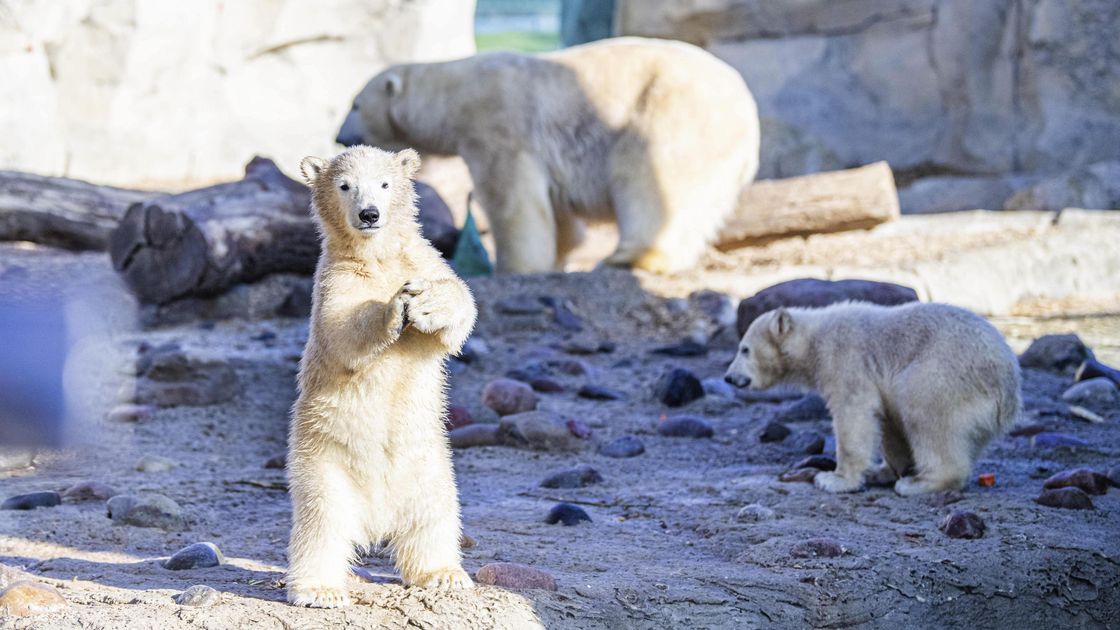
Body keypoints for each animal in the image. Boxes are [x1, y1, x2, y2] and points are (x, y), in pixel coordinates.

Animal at [336, 36, 757, 272]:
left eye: (356, 104)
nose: (340, 137)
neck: (454, 93)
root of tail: (748, 114)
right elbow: (557, 211)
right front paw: (560, 253)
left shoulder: (498, 124)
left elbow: (512, 199)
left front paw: (515, 265)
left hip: (670, 114)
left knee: (648, 181)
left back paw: (630, 257)